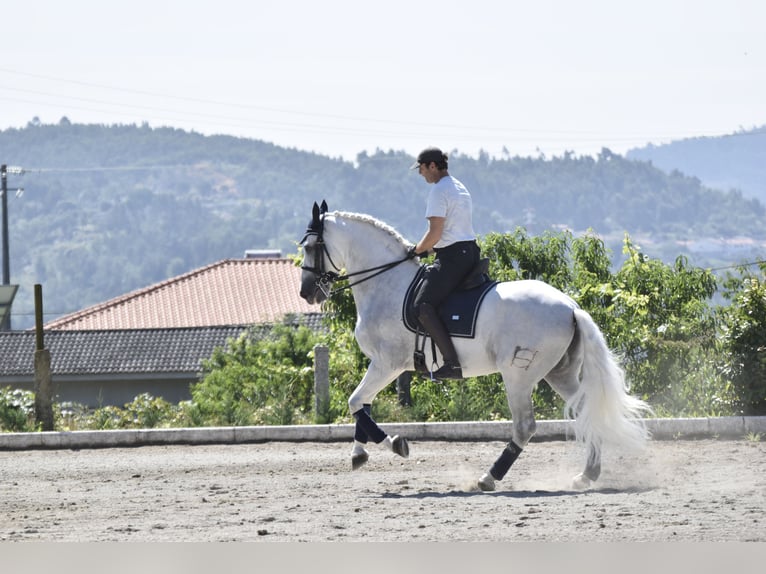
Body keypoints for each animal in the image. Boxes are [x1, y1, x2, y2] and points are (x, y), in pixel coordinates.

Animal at [296, 201, 652, 490]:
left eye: (312, 246)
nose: (306, 293)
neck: (386, 283)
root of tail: (570, 307)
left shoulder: (388, 363)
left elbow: (356, 402)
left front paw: (396, 445)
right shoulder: (382, 365)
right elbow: (362, 406)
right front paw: (359, 454)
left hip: (519, 375)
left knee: (525, 426)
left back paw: (488, 478)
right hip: (559, 372)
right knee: (584, 410)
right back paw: (587, 474)